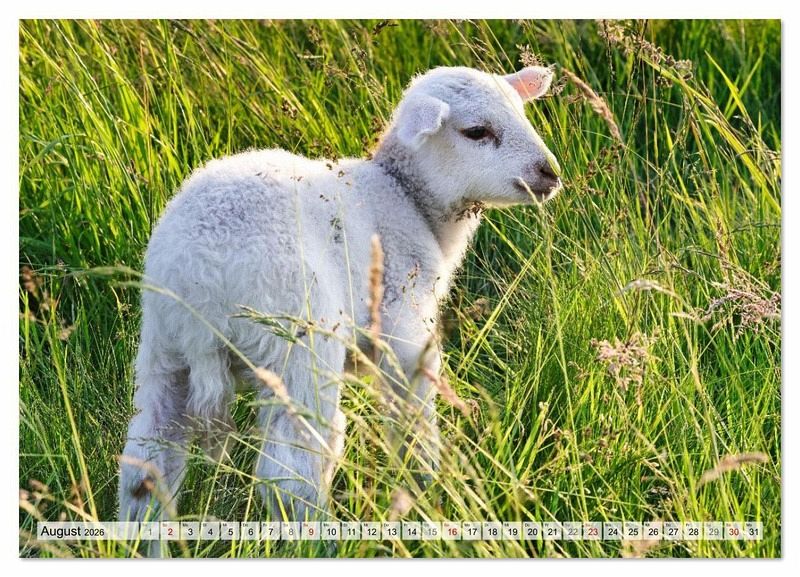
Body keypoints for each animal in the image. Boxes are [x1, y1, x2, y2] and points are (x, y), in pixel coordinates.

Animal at [119, 65, 562, 527]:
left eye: (521, 113)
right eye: (476, 131)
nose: (549, 173)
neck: (407, 198)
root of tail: (202, 282)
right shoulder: (405, 329)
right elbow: (414, 424)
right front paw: (428, 490)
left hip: (164, 351)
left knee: (145, 469)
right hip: (297, 344)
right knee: (291, 473)